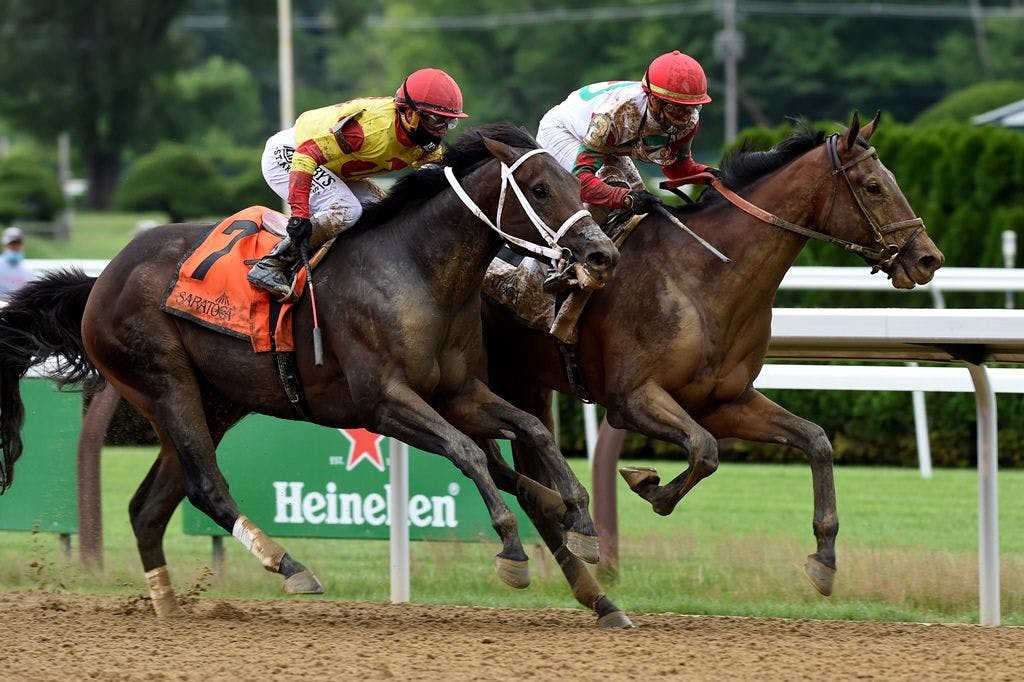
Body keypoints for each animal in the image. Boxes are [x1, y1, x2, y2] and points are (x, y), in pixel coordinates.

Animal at [0, 120, 614, 614]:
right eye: (540, 189)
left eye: (574, 183)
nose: (601, 254)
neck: (416, 271)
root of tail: (100, 280)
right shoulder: (383, 401)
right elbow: (467, 453)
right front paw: (512, 549)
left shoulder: (457, 392)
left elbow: (532, 429)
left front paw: (579, 519)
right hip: (163, 383)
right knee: (205, 487)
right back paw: (289, 565)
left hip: (214, 401)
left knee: (149, 506)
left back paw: (170, 608)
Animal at [479, 112, 942, 622]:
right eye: (874, 186)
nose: (928, 258)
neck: (705, 275)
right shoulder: (631, 400)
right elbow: (704, 450)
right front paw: (648, 484)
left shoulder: (722, 401)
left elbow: (815, 441)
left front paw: (824, 558)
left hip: (526, 385)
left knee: (528, 479)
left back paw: (595, 594)